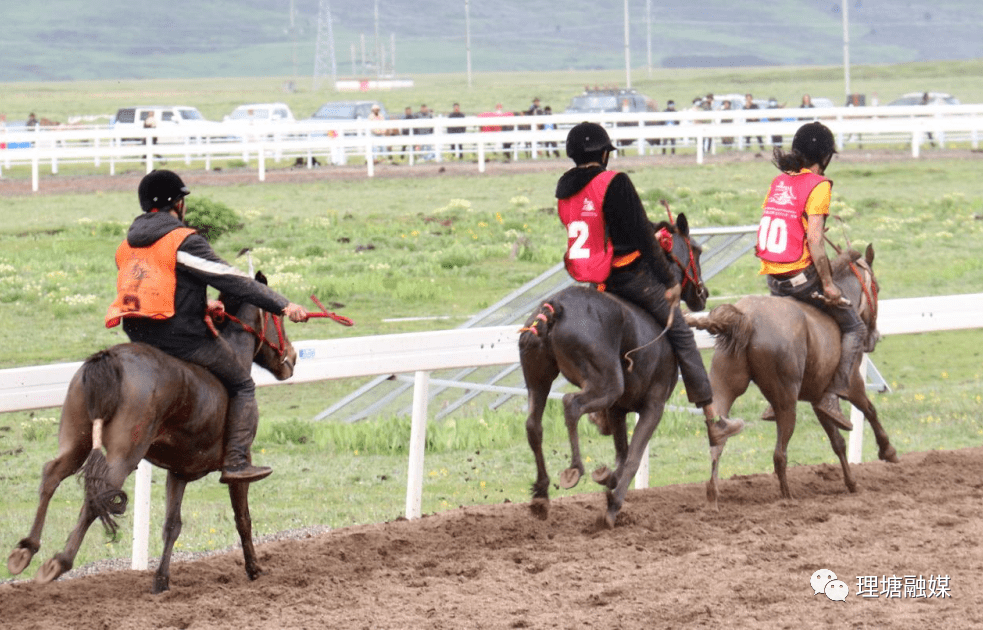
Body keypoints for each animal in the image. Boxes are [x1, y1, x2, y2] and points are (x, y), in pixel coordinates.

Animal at [5, 274, 296, 596]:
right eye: (279, 320)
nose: (293, 358)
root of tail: (110, 358)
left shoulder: (178, 473)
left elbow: (172, 525)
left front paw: (161, 580)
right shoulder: (239, 466)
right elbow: (243, 518)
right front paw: (254, 568)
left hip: (76, 441)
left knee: (52, 476)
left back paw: (25, 549)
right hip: (124, 455)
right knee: (96, 498)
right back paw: (59, 561)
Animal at [520, 215, 712, 532]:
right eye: (696, 250)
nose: (703, 293)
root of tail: (556, 307)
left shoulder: (618, 409)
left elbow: (622, 455)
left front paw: (607, 478)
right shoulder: (653, 406)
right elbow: (633, 457)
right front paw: (612, 505)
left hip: (538, 381)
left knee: (534, 425)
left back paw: (541, 495)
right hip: (605, 385)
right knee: (571, 404)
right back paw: (575, 469)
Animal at [684, 244, 900, 512]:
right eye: (876, 288)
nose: (873, 337)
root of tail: (746, 317)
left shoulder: (819, 397)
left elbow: (837, 441)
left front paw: (851, 482)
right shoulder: (852, 385)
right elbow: (869, 411)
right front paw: (888, 450)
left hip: (725, 384)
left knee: (718, 438)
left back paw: (713, 496)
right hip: (785, 399)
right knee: (779, 454)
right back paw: (787, 498)